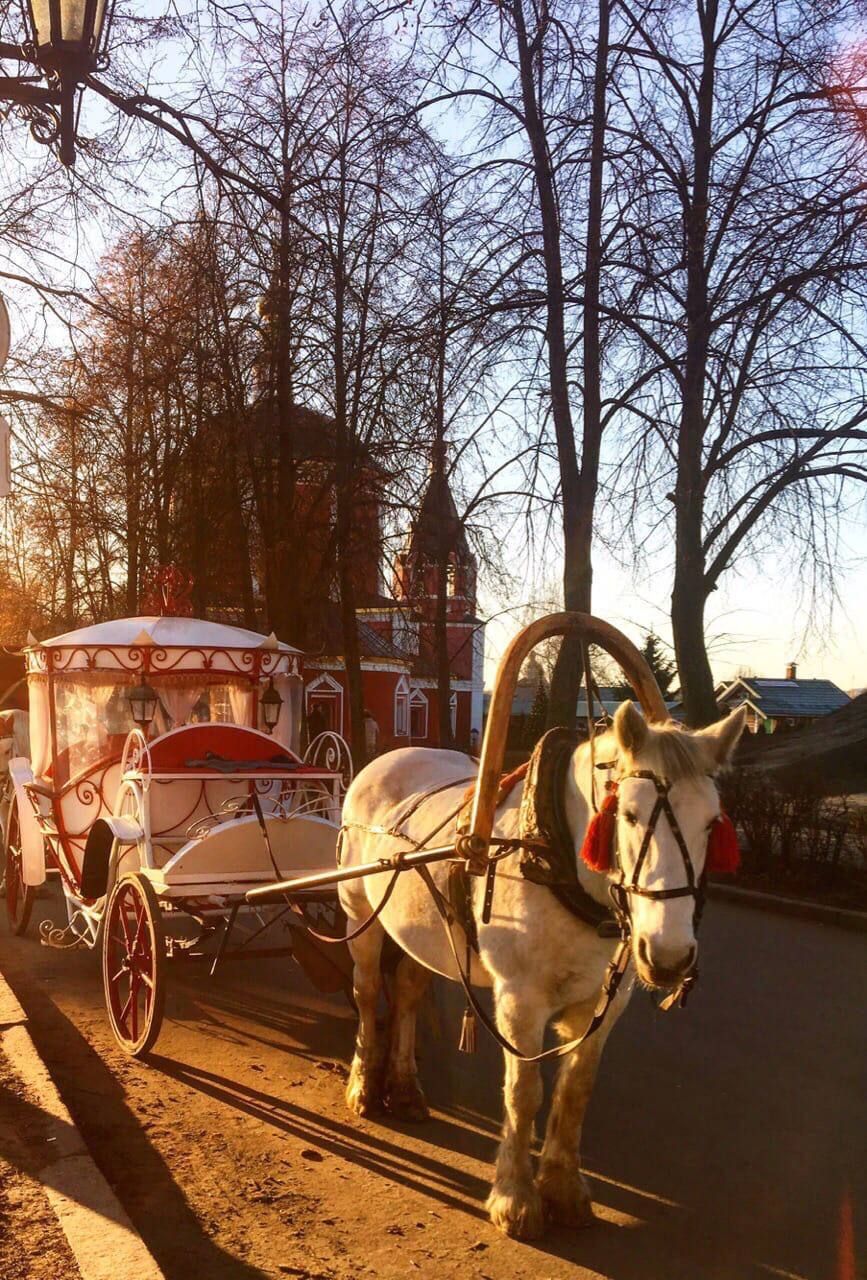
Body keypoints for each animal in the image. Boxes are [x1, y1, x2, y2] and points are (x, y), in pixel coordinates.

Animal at [338, 701, 742, 1239]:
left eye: (712, 823)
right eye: (629, 814)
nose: (669, 955)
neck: (555, 859)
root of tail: (390, 757)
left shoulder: (603, 1003)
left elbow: (575, 1092)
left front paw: (564, 1188)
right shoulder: (520, 999)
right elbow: (524, 1093)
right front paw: (516, 1196)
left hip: (420, 931)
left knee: (405, 993)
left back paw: (403, 1088)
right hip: (360, 911)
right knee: (366, 993)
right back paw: (364, 1083)